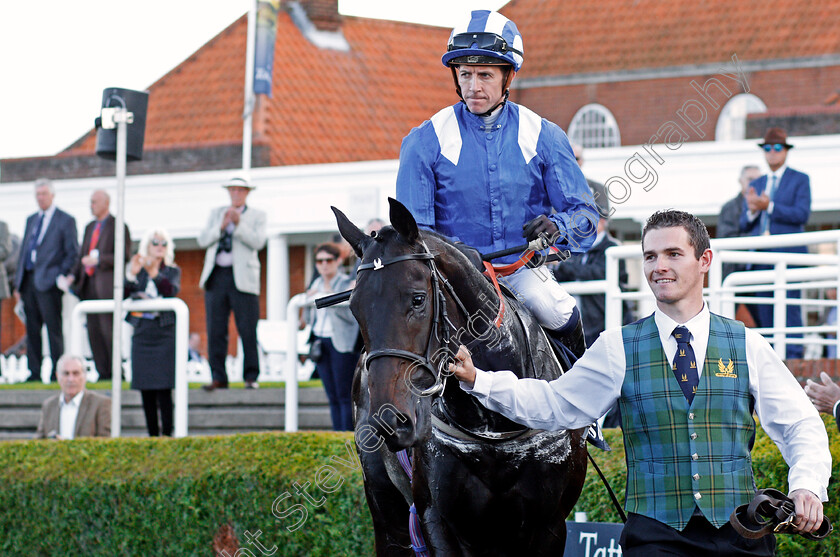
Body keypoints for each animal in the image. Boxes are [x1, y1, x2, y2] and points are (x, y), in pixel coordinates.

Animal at [332, 198, 588, 552]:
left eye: (418, 298)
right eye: (355, 308)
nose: (391, 421)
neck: (496, 427)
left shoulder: (549, 523)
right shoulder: (437, 518)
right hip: (387, 513)